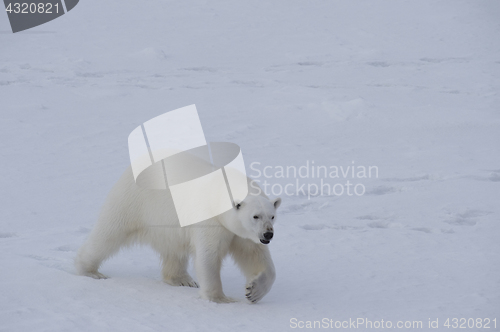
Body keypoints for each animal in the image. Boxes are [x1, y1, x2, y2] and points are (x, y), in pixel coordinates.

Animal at [74, 166, 282, 304]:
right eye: (255, 216)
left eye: (272, 216)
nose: (268, 234)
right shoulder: (210, 220)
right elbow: (209, 256)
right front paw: (221, 298)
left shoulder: (243, 234)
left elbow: (255, 255)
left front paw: (253, 291)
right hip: (133, 201)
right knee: (108, 233)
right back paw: (90, 271)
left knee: (174, 249)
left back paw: (182, 279)